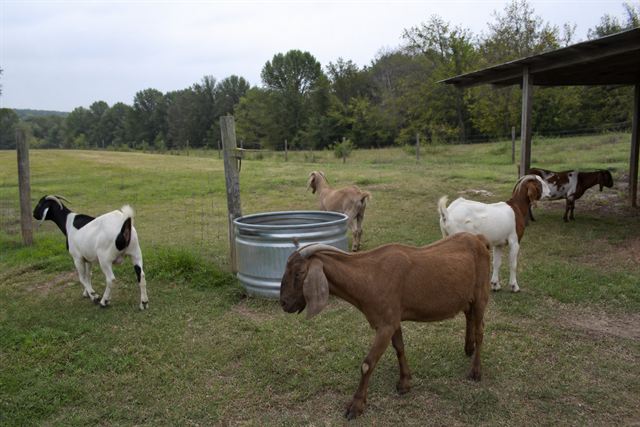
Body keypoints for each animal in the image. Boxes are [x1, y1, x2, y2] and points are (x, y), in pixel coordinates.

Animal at [280, 232, 491, 419]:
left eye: (299, 273)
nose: (284, 303)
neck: (370, 276)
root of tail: (480, 239)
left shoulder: (385, 325)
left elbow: (367, 364)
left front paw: (355, 406)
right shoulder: (393, 319)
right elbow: (399, 348)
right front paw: (405, 383)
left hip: (481, 293)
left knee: (480, 330)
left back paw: (475, 371)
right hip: (467, 297)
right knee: (469, 316)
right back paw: (468, 348)